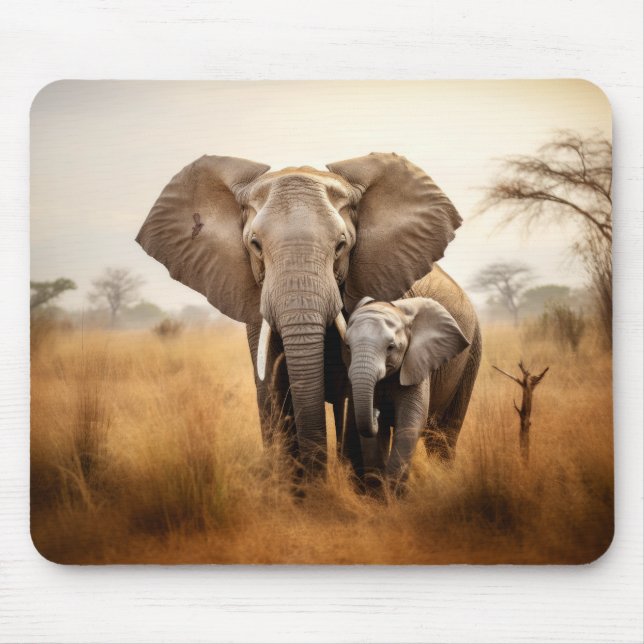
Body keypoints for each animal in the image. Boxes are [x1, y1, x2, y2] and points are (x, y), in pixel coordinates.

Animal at [343, 293, 477, 493]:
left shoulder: (417, 363)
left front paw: (393, 491)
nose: (376, 412)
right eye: (348, 347)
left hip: (471, 359)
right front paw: (379, 492)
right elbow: (372, 436)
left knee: (446, 433)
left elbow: (410, 423)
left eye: (391, 347)